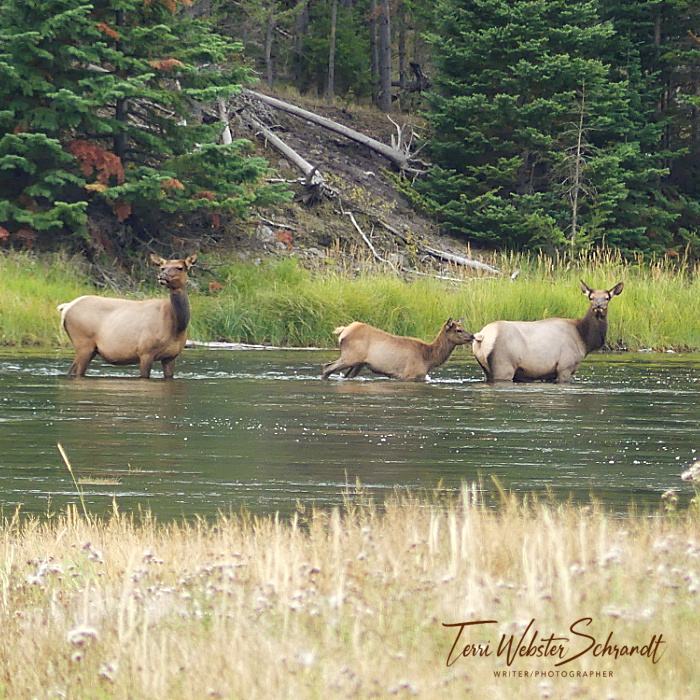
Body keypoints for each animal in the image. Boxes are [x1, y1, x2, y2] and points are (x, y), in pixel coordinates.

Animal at [58, 253, 198, 379]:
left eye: (180, 267)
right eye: (162, 267)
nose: (161, 277)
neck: (177, 326)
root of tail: (66, 307)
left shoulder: (171, 356)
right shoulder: (145, 351)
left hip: (91, 348)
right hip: (82, 343)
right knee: (76, 371)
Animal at [321, 318, 474, 381]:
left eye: (463, 327)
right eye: (458, 330)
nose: (472, 336)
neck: (429, 358)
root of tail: (343, 331)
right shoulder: (410, 374)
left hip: (359, 363)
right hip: (351, 356)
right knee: (327, 367)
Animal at [471, 280, 624, 383]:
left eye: (607, 298)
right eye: (591, 297)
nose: (598, 305)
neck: (585, 341)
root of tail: (481, 336)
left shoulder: (549, 373)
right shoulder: (565, 366)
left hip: (486, 369)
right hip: (503, 365)